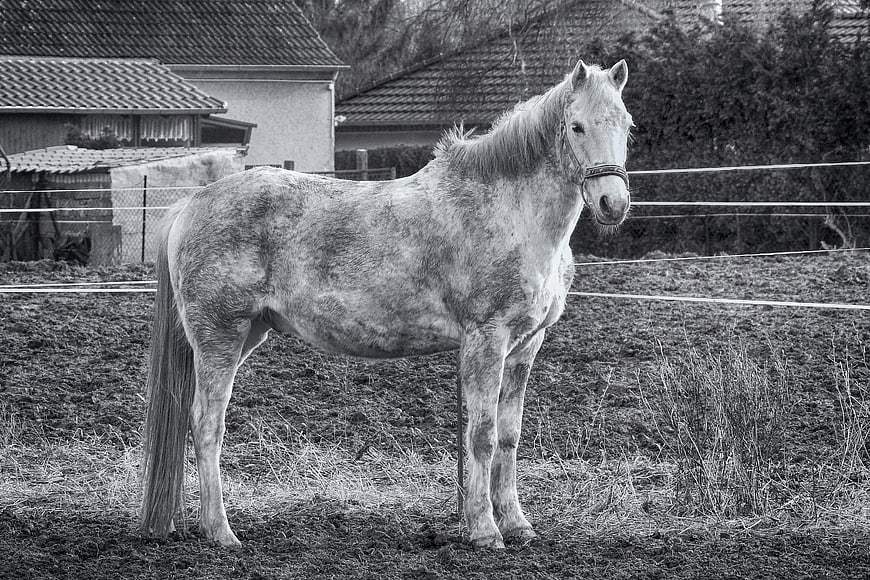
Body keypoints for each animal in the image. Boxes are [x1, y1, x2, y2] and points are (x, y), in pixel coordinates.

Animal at [140, 58, 633, 549]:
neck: (508, 212)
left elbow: (509, 438)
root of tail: (192, 202)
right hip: (220, 337)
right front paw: (484, 530)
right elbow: (482, 436)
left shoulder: (525, 347)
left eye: (627, 125)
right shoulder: (486, 340)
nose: (613, 203)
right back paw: (221, 532)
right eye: (576, 126)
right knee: (207, 425)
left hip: (248, 333)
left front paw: (517, 524)